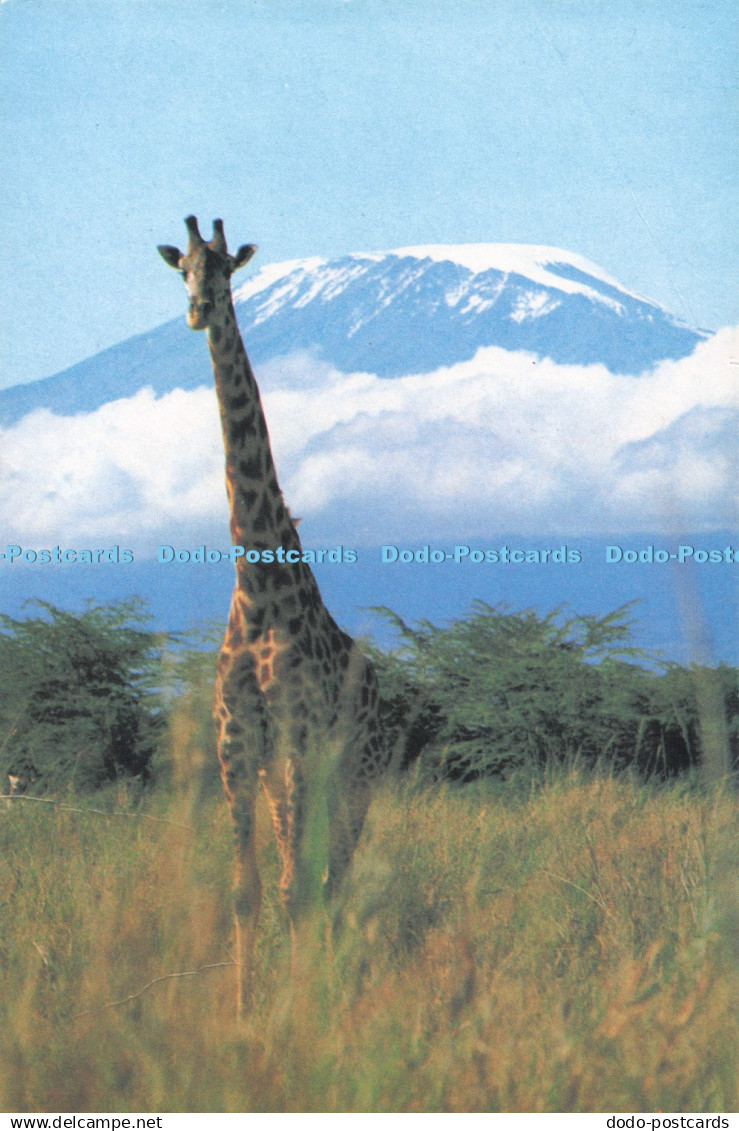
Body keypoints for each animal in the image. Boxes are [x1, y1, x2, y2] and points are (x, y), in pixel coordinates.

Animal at [158, 216, 388, 1014]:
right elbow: (247, 891)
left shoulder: (295, 735)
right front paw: (241, 1011)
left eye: (228, 268)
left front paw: (293, 1005)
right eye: (182, 269)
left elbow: (294, 888)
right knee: (315, 873)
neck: (257, 584)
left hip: (353, 773)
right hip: (291, 775)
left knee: (335, 877)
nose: (198, 310)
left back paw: (335, 980)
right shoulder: (238, 744)